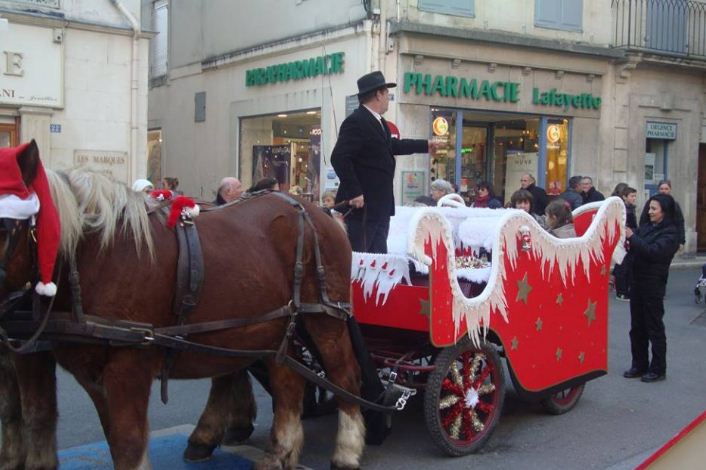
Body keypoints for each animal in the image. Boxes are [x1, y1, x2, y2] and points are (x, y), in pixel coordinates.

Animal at [0, 143, 364, 470]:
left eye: (6, 227)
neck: (100, 252)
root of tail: (317, 210)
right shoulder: (89, 371)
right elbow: (45, 419)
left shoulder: (127, 364)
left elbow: (125, 442)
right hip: (272, 325)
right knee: (287, 380)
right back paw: (276, 453)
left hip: (325, 318)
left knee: (344, 376)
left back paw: (345, 452)